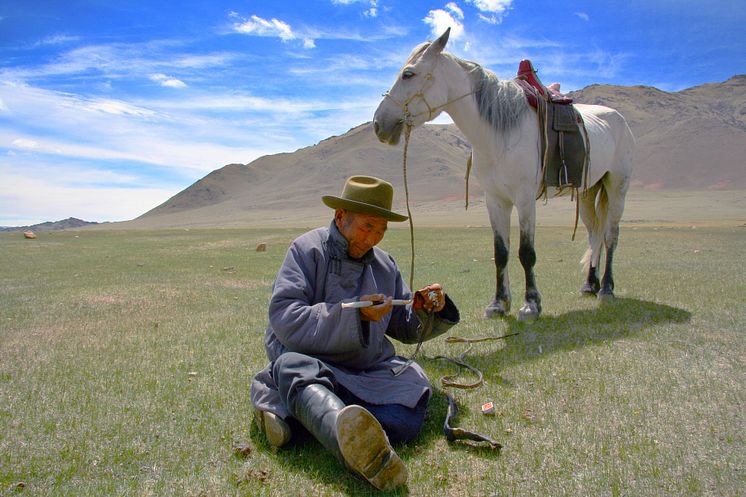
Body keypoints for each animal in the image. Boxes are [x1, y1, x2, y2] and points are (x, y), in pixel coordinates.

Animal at [374, 29, 632, 320]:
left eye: (408, 74)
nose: (378, 124)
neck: (498, 133)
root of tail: (619, 119)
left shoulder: (525, 198)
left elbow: (526, 252)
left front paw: (531, 304)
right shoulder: (495, 200)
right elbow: (501, 252)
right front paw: (498, 303)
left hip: (617, 188)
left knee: (610, 236)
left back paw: (606, 288)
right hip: (589, 191)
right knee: (594, 235)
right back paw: (590, 284)